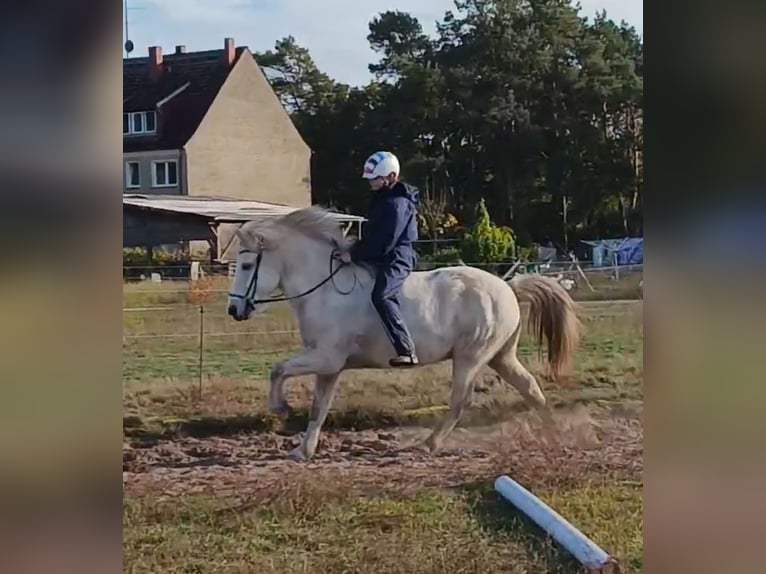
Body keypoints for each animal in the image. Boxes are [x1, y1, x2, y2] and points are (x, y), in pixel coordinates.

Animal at [228, 207, 584, 464]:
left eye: (245, 266)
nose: (234, 310)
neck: (325, 289)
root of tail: (507, 287)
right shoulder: (330, 367)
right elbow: (319, 408)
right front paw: (303, 450)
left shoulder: (325, 357)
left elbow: (279, 370)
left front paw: (280, 409)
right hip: (501, 357)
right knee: (530, 388)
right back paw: (555, 435)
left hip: (471, 357)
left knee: (460, 400)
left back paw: (430, 444)